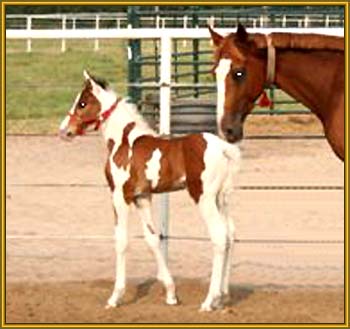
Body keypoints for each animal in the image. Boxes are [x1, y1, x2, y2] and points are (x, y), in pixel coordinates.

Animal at [59, 72, 241, 310]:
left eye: (82, 103)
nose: (64, 130)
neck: (124, 142)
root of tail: (223, 147)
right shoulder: (142, 197)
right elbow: (152, 238)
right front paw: (171, 294)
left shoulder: (120, 196)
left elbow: (121, 241)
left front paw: (115, 297)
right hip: (222, 199)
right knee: (230, 234)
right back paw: (223, 295)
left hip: (204, 198)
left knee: (219, 236)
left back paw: (209, 300)